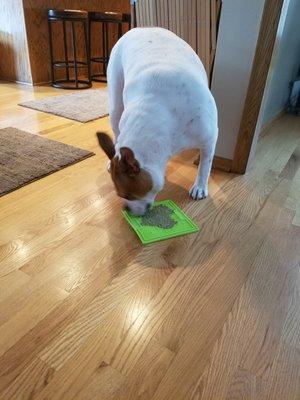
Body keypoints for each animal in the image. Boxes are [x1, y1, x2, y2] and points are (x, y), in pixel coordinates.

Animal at [98, 27, 218, 216]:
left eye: (128, 195)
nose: (126, 209)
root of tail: (140, 28)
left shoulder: (209, 140)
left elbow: (205, 165)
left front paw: (200, 186)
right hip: (115, 107)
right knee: (116, 132)